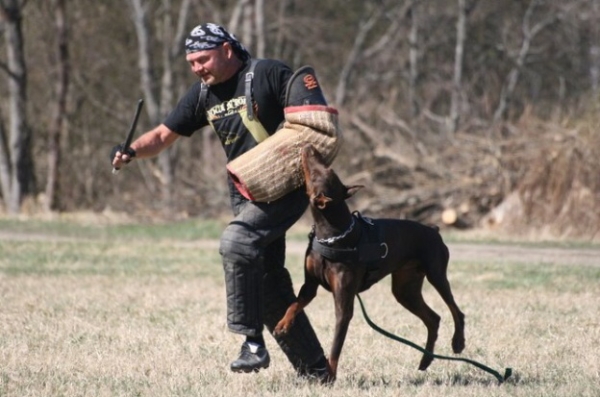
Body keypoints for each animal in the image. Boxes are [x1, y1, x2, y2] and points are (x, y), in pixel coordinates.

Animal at [274, 144, 466, 382]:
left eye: (319, 173)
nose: (309, 147)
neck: (331, 235)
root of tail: (434, 230)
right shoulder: (309, 285)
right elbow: (294, 304)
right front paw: (283, 324)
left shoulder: (344, 303)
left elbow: (336, 346)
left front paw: (330, 375)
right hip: (405, 289)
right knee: (433, 318)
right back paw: (426, 360)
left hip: (436, 273)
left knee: (455, 310)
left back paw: (458, 343)